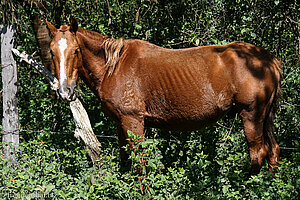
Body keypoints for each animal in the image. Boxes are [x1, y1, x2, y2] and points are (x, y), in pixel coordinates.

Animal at [45, 19, 282, 175]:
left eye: (76, 50)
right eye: (51, 51)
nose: (65, 91)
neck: (113, 67)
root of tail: (269, 60)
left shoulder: (133, 121)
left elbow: (139, 163)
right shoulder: (121, 124)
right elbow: (125, 161)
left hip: (251, 115)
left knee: (258, 153)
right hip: (265, 117)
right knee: (273, 151)